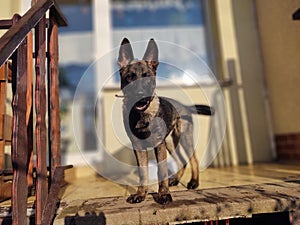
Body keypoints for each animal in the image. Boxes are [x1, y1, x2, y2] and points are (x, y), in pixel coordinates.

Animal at [117, 37, 213, 205]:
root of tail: (185, 106)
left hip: (183, 139)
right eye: (129, 77)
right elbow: (143, 173)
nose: (140, 94)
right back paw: (175, 179)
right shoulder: (139, 147)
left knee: (193, 159)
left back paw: (194, 182)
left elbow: (161, 170)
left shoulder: (158, 145)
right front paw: (140, 194)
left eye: (147, 76)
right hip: (170, 144)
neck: (142, 115)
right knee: (182, 161)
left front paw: (163, 194)